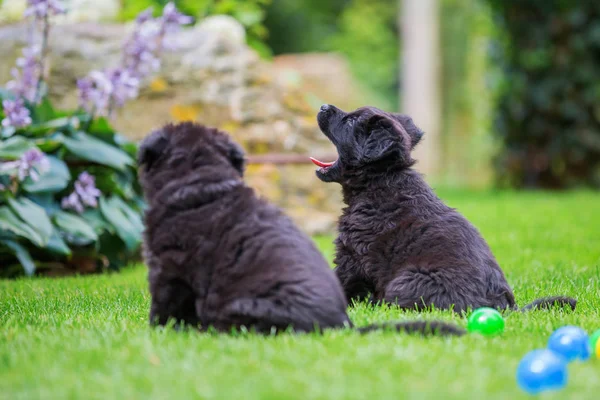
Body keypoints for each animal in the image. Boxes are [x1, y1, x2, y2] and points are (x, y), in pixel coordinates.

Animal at [310, 104, 576, 314]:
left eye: (350, 121)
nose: (323, 106)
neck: (381, 181)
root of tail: (503, 309)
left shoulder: (352, 256)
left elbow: (341, 280)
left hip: (406, 281)